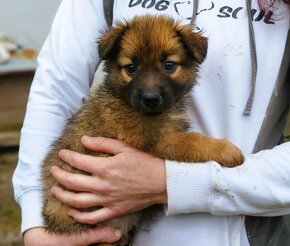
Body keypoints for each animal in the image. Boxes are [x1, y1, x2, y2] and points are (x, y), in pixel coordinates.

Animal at [41, 15, 245, 246]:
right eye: (131, 68)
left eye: (169, 65)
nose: (151, 99)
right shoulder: (154, 139)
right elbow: (193, 140)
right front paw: (227, 150)